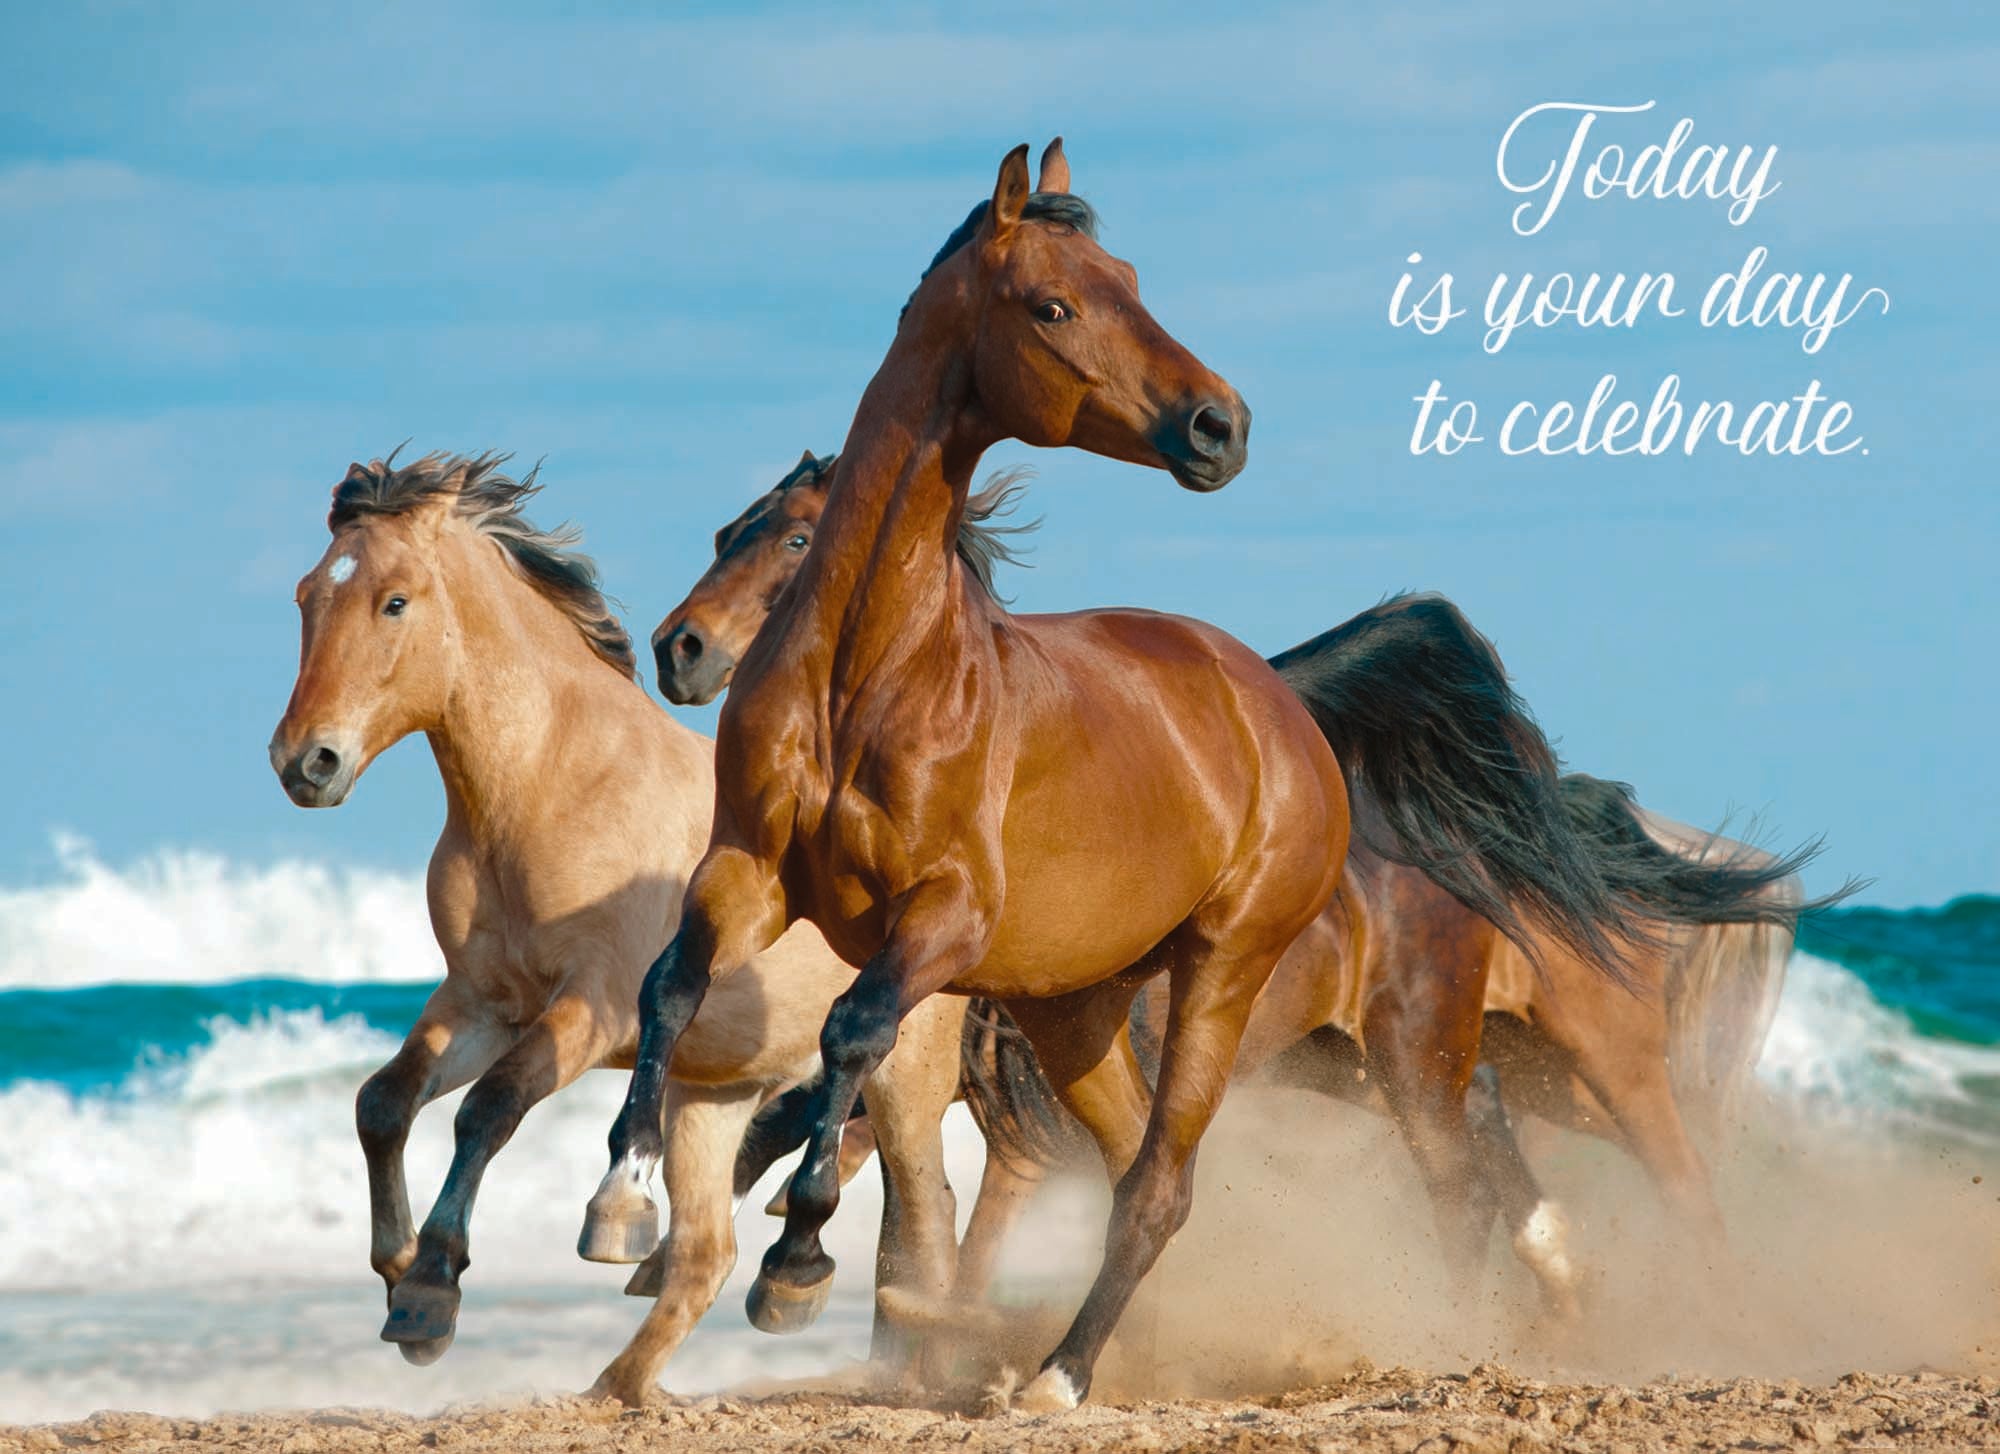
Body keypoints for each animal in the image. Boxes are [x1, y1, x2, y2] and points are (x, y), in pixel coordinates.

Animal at [267, 450, 968, 1390]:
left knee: (923, 1216)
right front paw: (398, 1271)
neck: (546, 784)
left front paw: (429, 1292)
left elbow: (488, 1109)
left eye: (395, 601)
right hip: (711, 1097)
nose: (306, 761)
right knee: (707, 1252)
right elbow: (382, 1102)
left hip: (903, 1084)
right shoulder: (481, 1002)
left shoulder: (590, 1009)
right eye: (307, 595)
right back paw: (620, 1386)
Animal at [585, 139, 1670, 1410]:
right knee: (1140, 1162)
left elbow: (849, 1038)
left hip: (1249, 986)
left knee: (1186, 1180)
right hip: (1088, 1008)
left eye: (1125, 283)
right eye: (1053, 305)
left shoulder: (944, 920)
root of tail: (1279, 706)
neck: (869, 673)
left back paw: (1065, 1370)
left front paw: (796, 1258)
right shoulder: (749, 871)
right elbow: (670, 987)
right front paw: (621, 1203)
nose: (1218, 425)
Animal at [656, 448, 1812, 1324]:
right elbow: (825, 1119)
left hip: (1593, 1064)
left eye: (797, 542)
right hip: (1396, 1061)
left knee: (1670, 1182)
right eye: (722, 532)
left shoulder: (1014, 1108)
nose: (682, 649)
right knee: (1496, 1147)